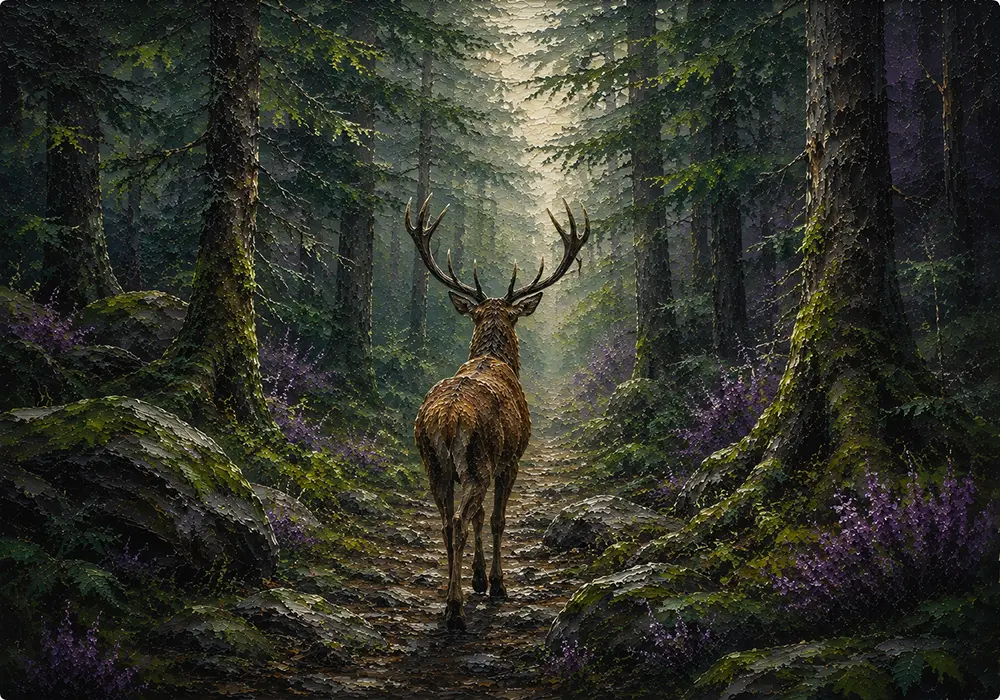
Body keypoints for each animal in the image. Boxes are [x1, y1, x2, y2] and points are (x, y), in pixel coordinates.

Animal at [405, 195, 590, 631]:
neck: (495, 359)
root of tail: (446, 421)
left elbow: (480, 518)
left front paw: (477, 578)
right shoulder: (511, 459)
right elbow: (495, 519)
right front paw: (496, 584)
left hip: (433, 465)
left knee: (447, 522)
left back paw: (452, 596)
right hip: (478, 463)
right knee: (459, 521)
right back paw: (454, 611)